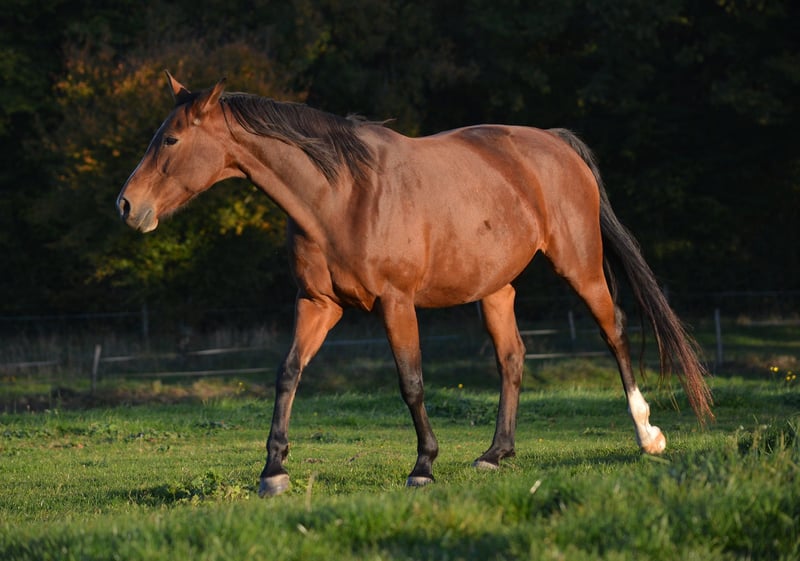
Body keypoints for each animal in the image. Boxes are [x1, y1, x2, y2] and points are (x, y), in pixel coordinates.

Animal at [116, 73, 713, 497]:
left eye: (170, 139)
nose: (126, 205)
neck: (340, 194)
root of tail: (556, 142)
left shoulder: (395, 303)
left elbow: (412, 381)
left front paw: (423, 465)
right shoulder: (317, 304)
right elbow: (287, 375)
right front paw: (273, 469)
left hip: (580, 265)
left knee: (614, 331)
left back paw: (647, 435)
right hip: (495, 289)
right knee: (512, 358)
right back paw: (496, 454)